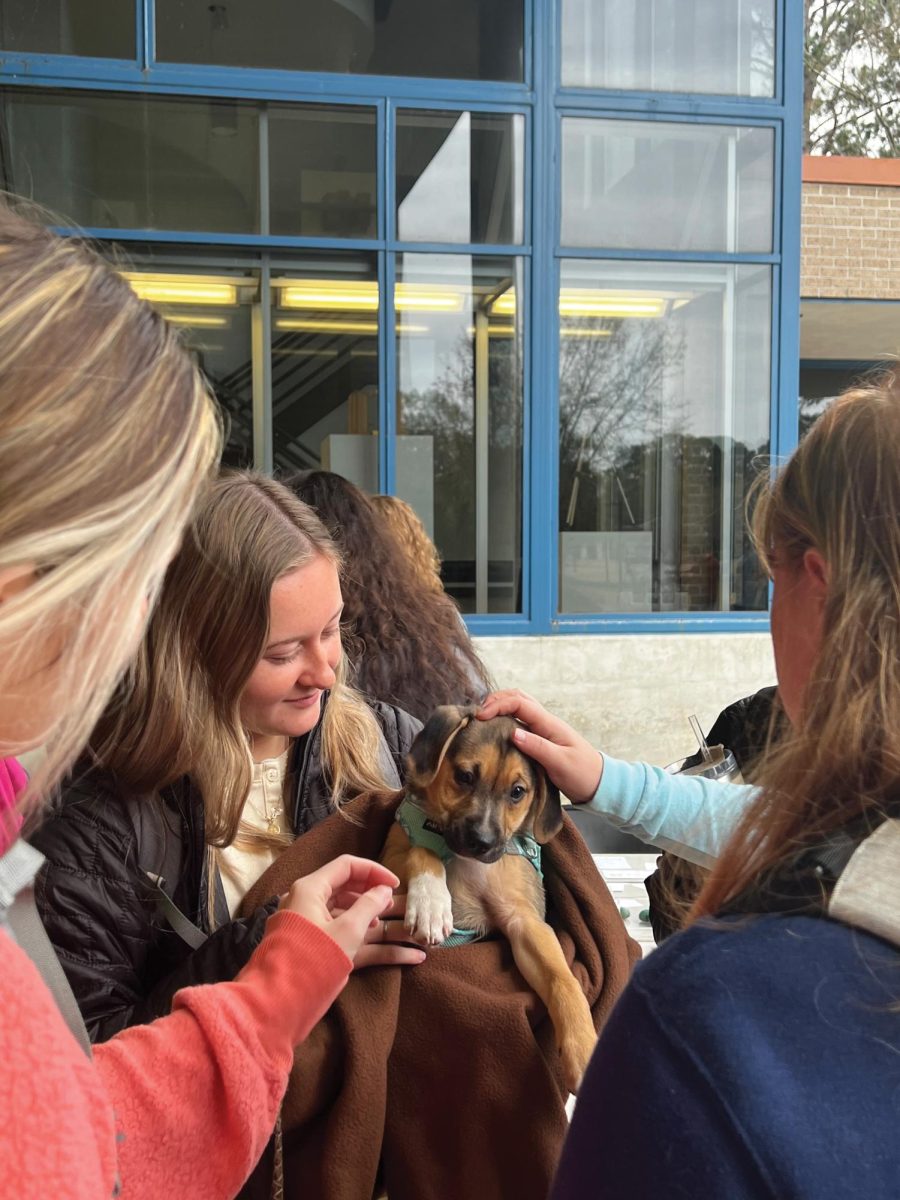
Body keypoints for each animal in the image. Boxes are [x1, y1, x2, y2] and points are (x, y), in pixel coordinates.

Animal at [381, 700, 600, 1089]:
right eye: (465, 776)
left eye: (518, 792)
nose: (481, 842)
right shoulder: (387, 859)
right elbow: (423, 850)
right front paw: (431, 903)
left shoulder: (526, 925)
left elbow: (563, 979)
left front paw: (583, 1046)